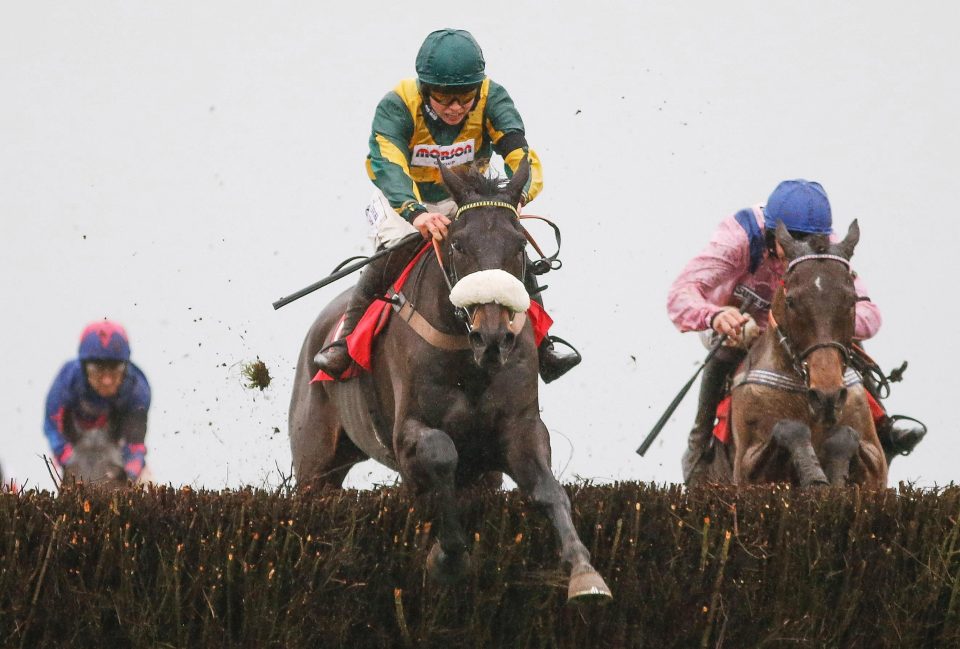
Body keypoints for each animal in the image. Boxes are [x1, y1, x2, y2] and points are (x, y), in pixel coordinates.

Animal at [288, 159, 612, 600]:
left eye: (519, 246)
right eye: (458, 244)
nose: (493, 336)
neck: (468, 356)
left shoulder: (520, 428)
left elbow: (550, 490)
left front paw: (584, 571)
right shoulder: (407, 434)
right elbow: (441, 454)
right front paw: (448, 557)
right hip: (314, 464)